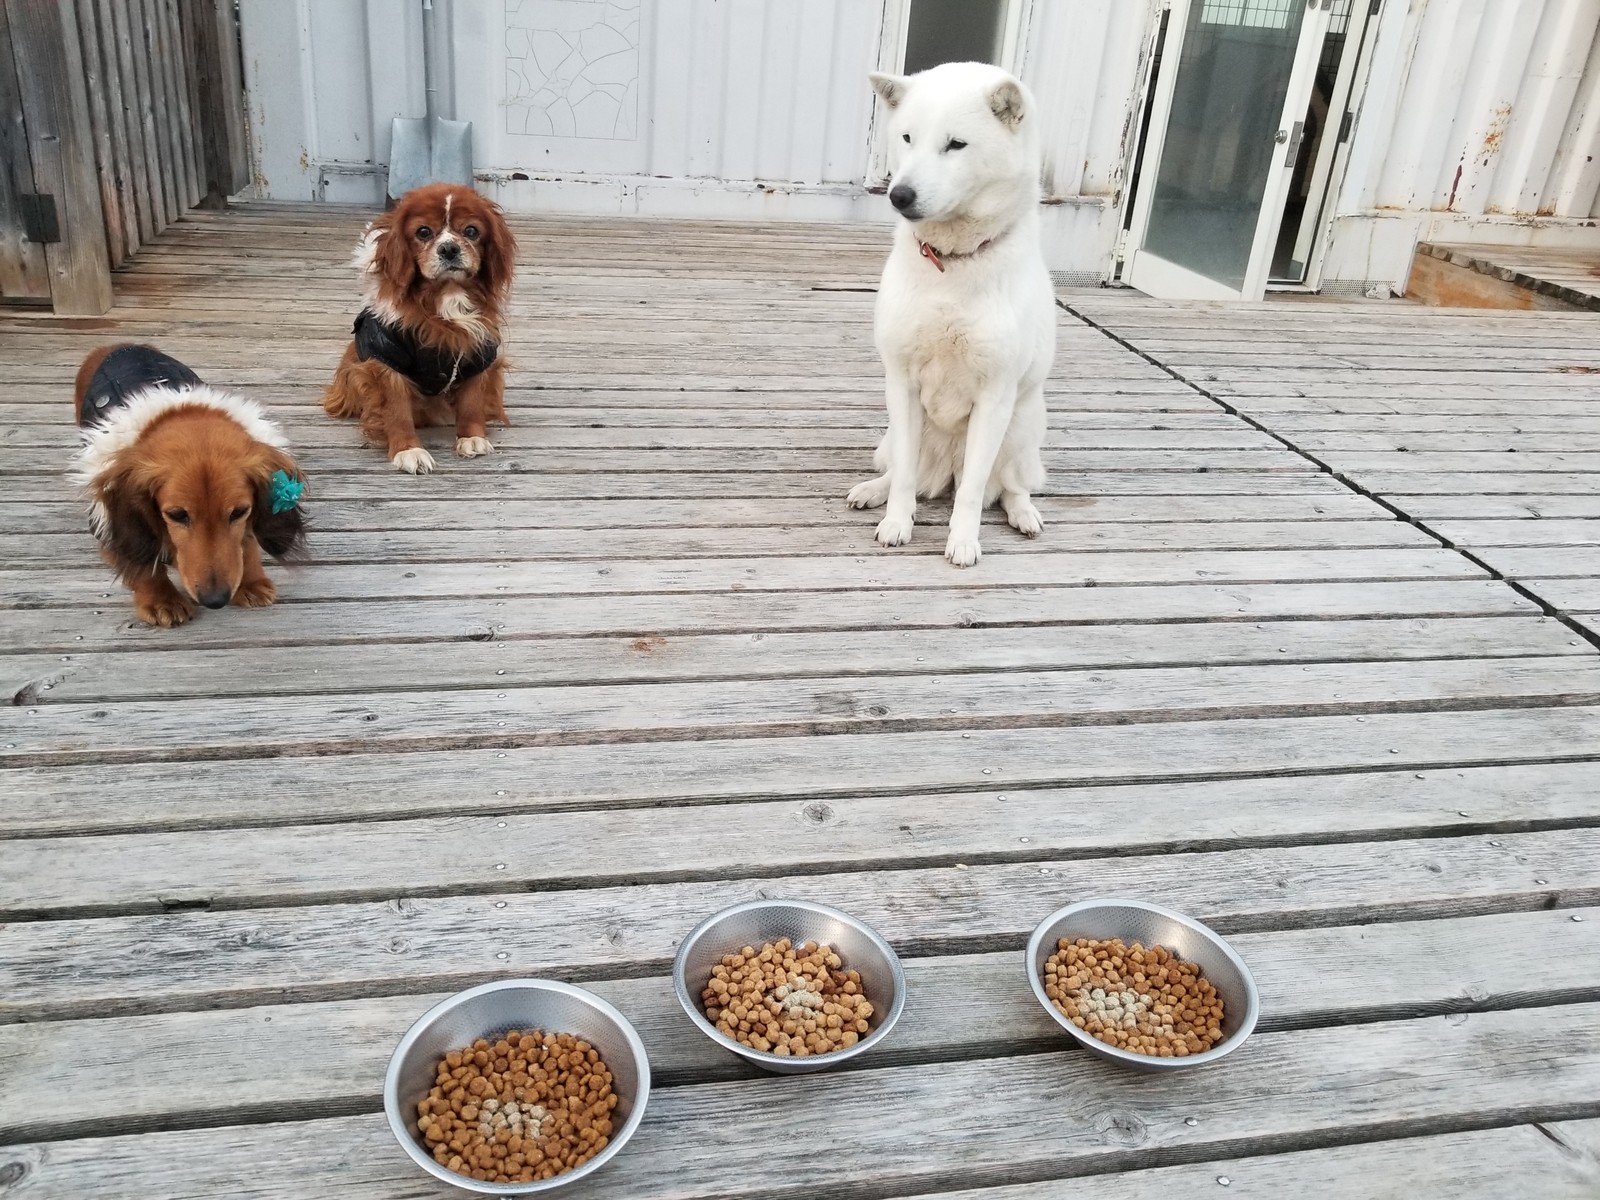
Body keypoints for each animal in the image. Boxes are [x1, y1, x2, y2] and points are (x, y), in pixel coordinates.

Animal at [72, 344, 308, 627]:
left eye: (239, 512)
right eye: (177, 515)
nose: (215, 600)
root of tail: (115, 346)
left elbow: (247, 541)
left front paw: (250, 581)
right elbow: (141, 559)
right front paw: (162, 600)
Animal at [323, 183, 517, 473]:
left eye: (471, 231)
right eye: (423, 232)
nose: (449, 249)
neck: (446, 296)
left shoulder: (478, 352)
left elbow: (472, 401)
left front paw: (471, 437)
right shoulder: (387, 358)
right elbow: (397, 409)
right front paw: (408, 450)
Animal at [847, 62, 1056, 567]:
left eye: (955, 144)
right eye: (907, 137)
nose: (899, 195)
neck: (952, 263)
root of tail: (944, 472)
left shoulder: (995, 397)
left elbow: (974, 490)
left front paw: (962, 540)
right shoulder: (901, 383)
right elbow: (904, 477)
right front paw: (896, 523)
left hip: (1020, 431)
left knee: (1008, 487)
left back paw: (1024, 514)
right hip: (894, 435)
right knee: (902, 470)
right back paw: (874, 490)